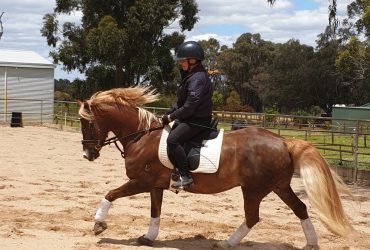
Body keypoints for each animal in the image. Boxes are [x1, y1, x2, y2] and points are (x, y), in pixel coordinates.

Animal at [77, 85, 352, 248]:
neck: (142, 136)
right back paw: (311, 243)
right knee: (300, 209)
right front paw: (148, 237)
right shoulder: (155, 185)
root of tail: (283, 141)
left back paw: (227, 243)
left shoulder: (141, 182)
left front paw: (99, 224)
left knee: (253, 217)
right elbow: (155, 212)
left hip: (254, 190)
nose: (88, 154)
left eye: (87, 123)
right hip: (279, 187)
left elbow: (110, 194)